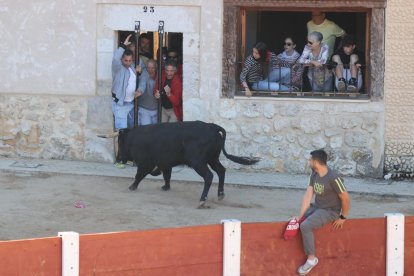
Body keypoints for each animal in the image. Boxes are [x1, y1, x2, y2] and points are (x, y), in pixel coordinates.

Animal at [98, 121, 258, 205]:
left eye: (120, 142)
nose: (118, 159)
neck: (134, 137)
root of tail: (212, 127)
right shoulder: (165, 163)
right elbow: (166, 175)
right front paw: (166, 187)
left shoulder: (145, 162)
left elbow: (140, 175)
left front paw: (132, 187)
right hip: (212, 159)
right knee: (221, 171)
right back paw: (220, 194)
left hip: (198, 162)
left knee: (209, 176)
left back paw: (202, 199)